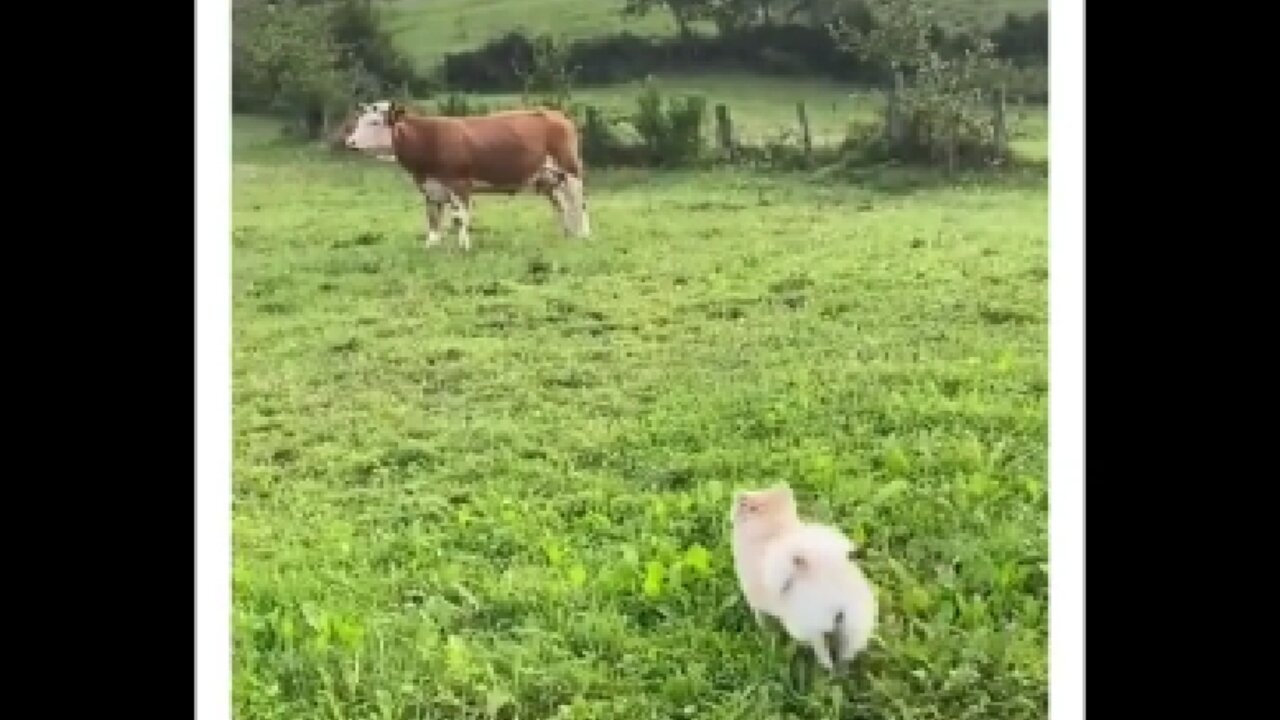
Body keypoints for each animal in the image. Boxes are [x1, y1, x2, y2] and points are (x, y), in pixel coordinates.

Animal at [342, 100, 590, 251]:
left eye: (374, 122)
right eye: (360, 121)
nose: (350, 142)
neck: (429, 138)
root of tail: (556, 114)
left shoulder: (460, 183)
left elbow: (460, 217)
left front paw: (463, 246)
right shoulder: (430, 188)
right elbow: (433, 219)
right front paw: (431, 246)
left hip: (570, 169)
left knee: (580, 202)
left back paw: (584, 235)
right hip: (547, 179)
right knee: (562, 206)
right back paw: (566, 235)